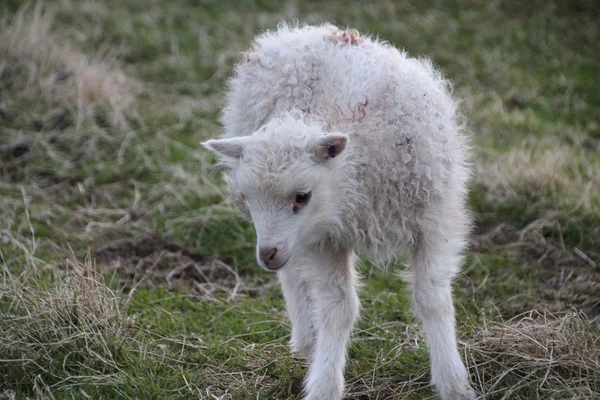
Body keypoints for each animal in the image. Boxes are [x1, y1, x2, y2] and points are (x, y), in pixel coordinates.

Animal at [204, 24, 476, 400]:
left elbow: (432, 299)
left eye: (302, 196)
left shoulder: (436, 222)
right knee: (293, 277)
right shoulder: (324, 239)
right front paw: (324, 385)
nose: (266, 254)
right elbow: (338, 309)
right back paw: (308, 340)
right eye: (246, 198)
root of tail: (296, 32)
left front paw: (453, 382)